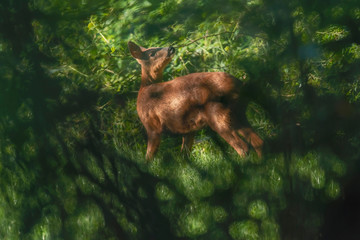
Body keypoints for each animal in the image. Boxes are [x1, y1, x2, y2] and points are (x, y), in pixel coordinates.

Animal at [128, 41, 262, 161]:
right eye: (152, 53)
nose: (171, 48)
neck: (144, 91)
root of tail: (240, 84)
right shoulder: (187, 129)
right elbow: (184, 155)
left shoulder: (152, 126)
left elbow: (149, 157)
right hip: (238, 113)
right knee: (258, 141)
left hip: (218, 114)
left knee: (243, 147)